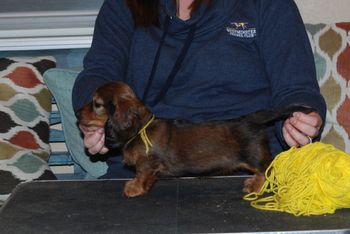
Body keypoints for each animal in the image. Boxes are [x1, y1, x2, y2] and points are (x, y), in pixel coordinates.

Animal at [79, 80, 314, 197]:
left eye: (97, 104)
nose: (77, 115)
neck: (140, 129)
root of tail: (251, 119)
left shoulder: (147, 164)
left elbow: (142, 175)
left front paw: (135, 189)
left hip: (254, 157)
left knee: (266, 171)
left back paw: (256, 187)